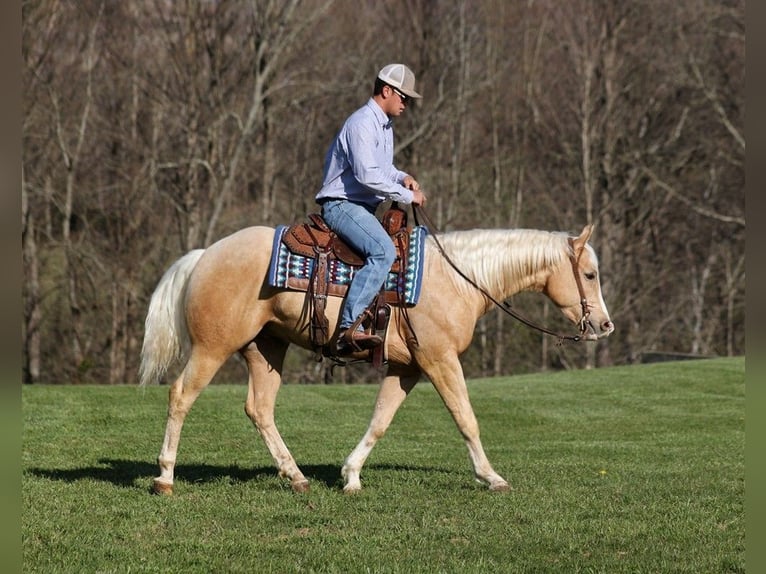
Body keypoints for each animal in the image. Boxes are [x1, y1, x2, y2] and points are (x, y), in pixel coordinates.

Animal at [141, 222, 616, 496]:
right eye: (589, 274)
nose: (605, 326)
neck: (457, 280)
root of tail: (204, 255)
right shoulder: (440, 360)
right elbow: (466, 418)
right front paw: (491, 477)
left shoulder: (407, 368)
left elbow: (380, 420)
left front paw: (351, 475)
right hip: (213, 347)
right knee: (181, 396)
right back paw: (165, 477)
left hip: (267, 349)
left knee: (259, 409)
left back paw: (296, 477)